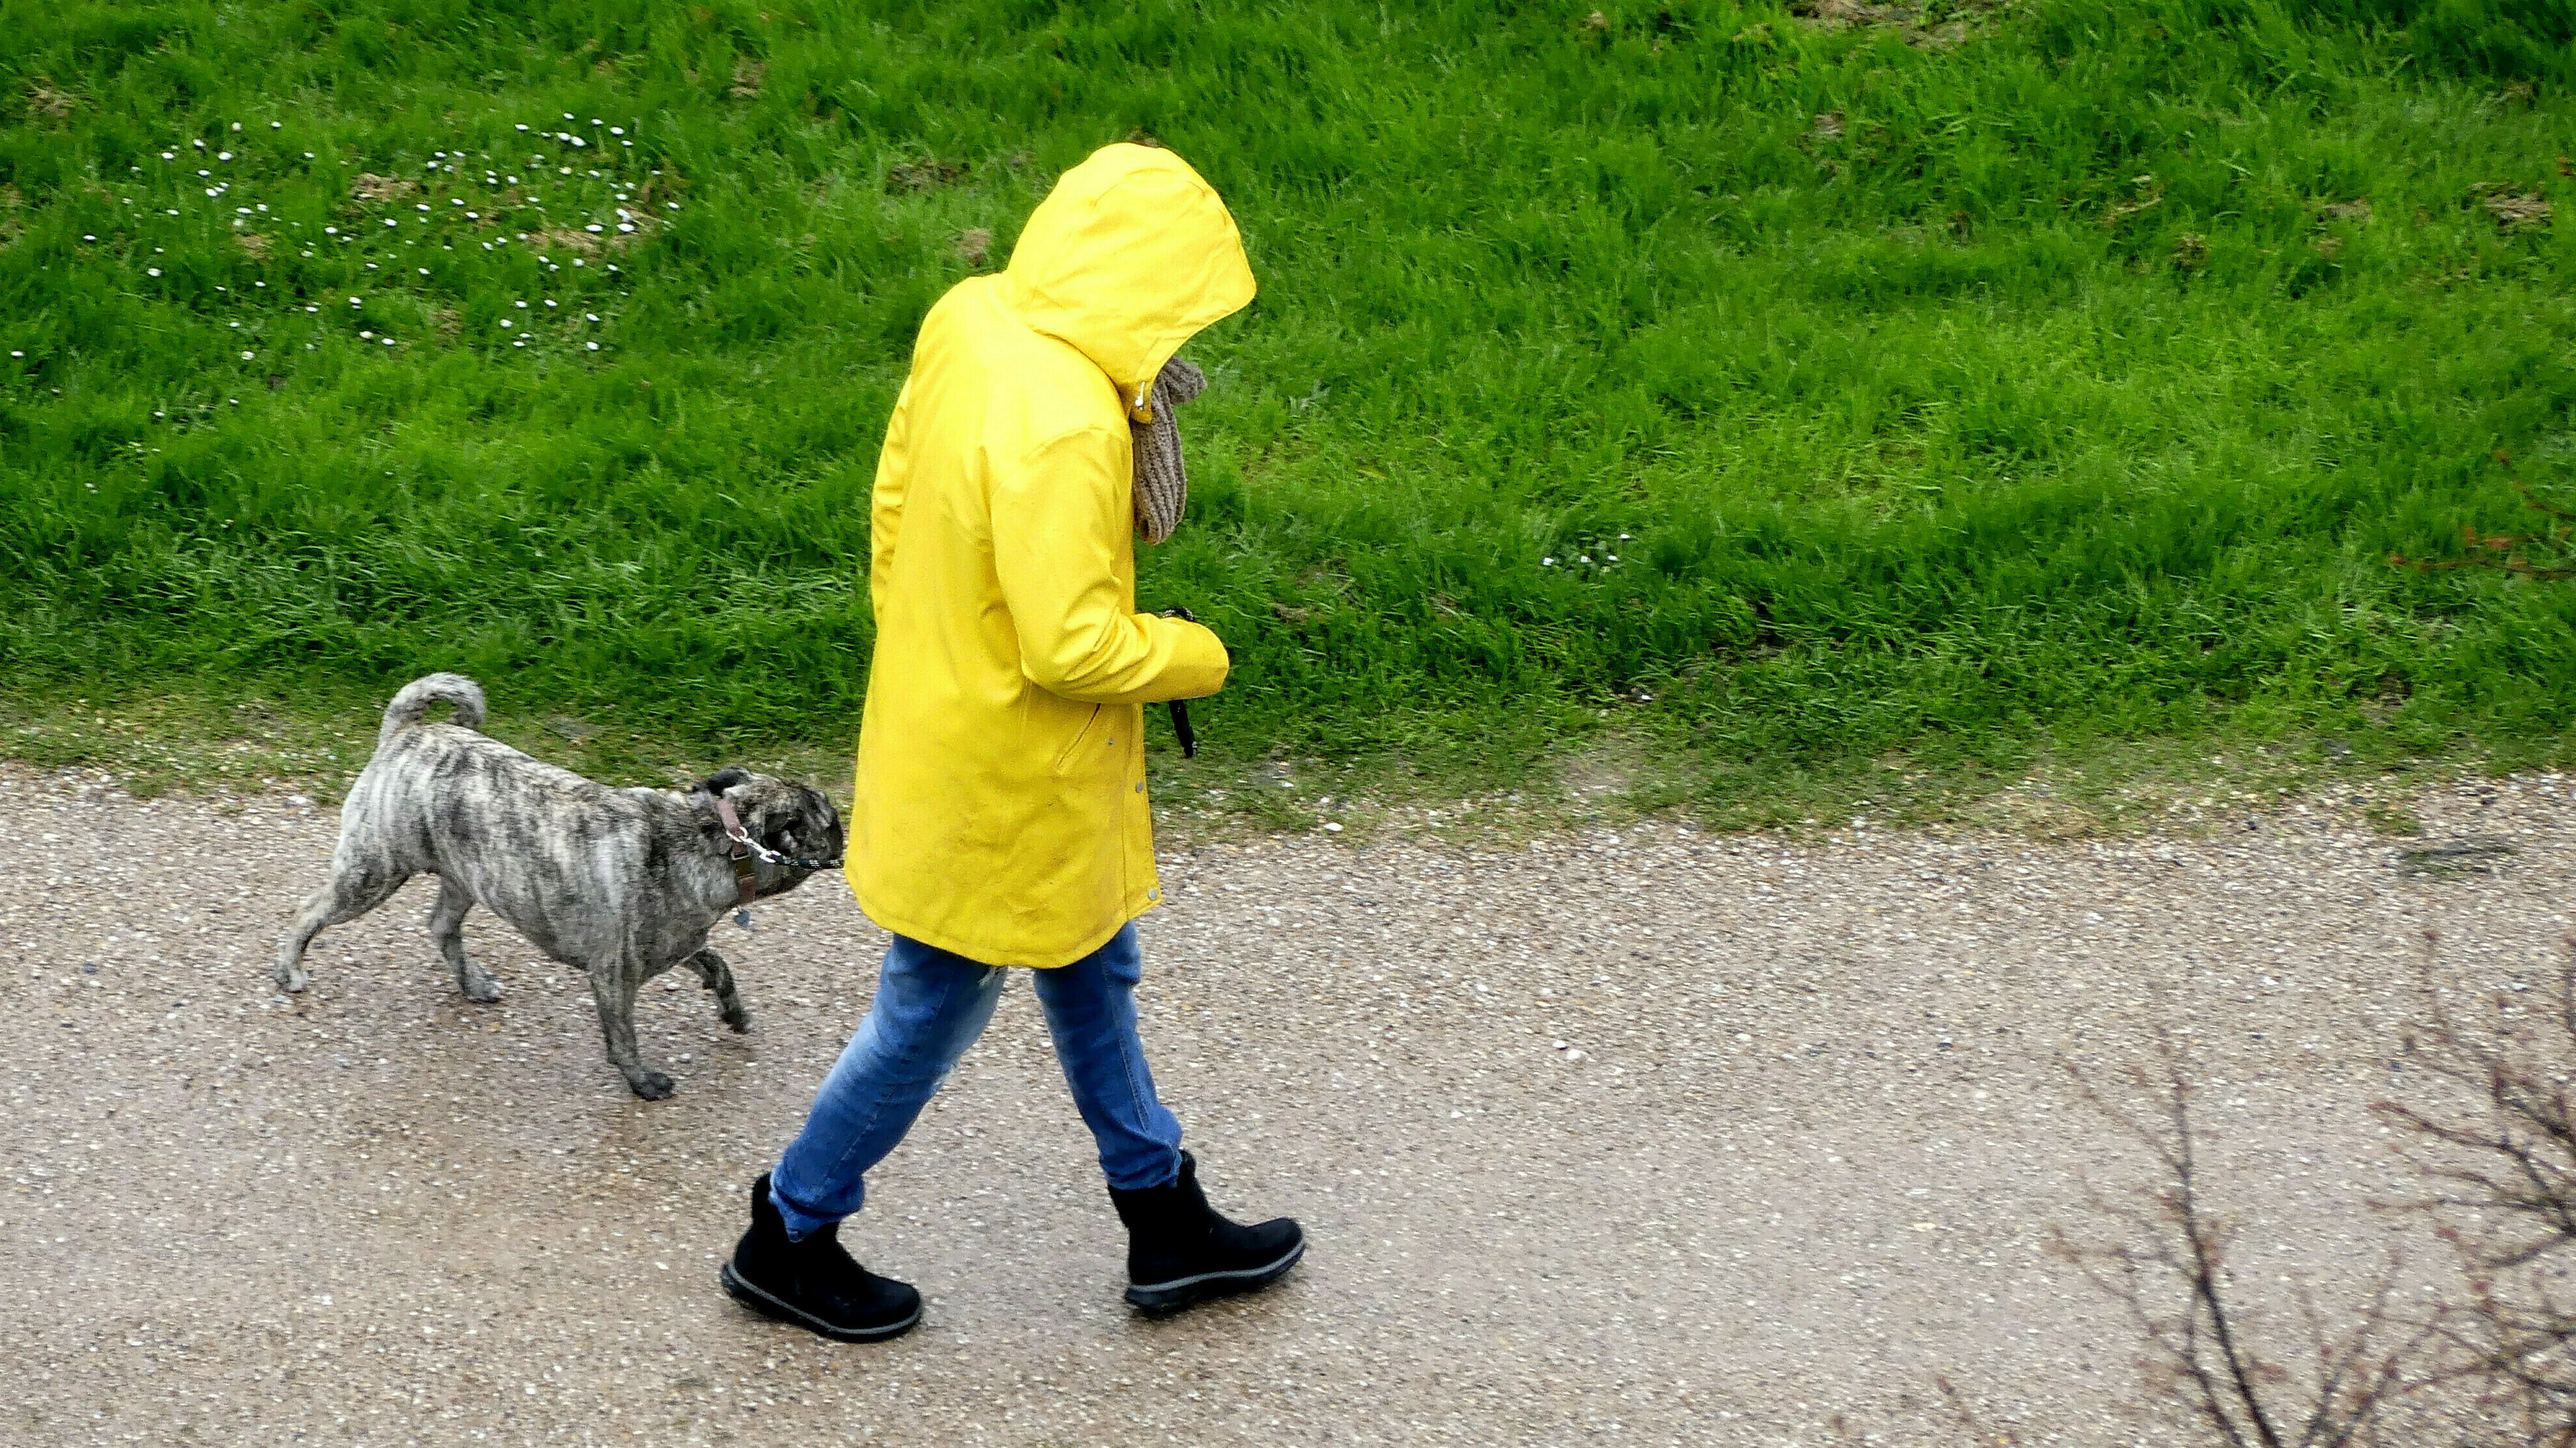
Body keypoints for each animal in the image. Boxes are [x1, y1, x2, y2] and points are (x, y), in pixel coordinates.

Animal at [281, 675, 845, 1092]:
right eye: (832, 821)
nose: (848, 832)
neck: (713, 836)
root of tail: (406, 733)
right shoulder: (615, 975)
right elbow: (624, 1038)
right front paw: (642, 1080)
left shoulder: (682, 944)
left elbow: (720, 967)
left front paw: (734, 1013)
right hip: (371, 875)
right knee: (308, 912)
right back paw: (289, 969)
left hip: (466, 879)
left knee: (442, 928)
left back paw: (472, 982)